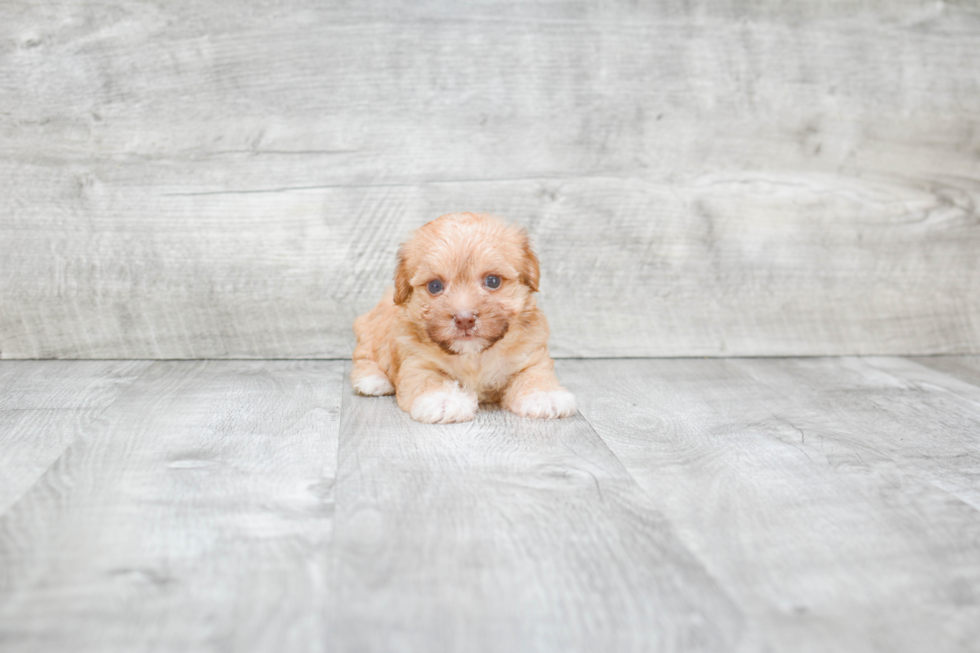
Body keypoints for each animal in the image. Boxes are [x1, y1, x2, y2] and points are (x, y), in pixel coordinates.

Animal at [354, 210, 576, 422]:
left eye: (493, 281)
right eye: (435, 286)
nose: (464, 319)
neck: (474, 356)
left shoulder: (530, 356)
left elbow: (535, 374)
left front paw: (544, 395)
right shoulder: (417, 362)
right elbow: (428, 380)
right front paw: (442, 400)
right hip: (369, 333)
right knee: (363, 356)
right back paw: (373, 380)